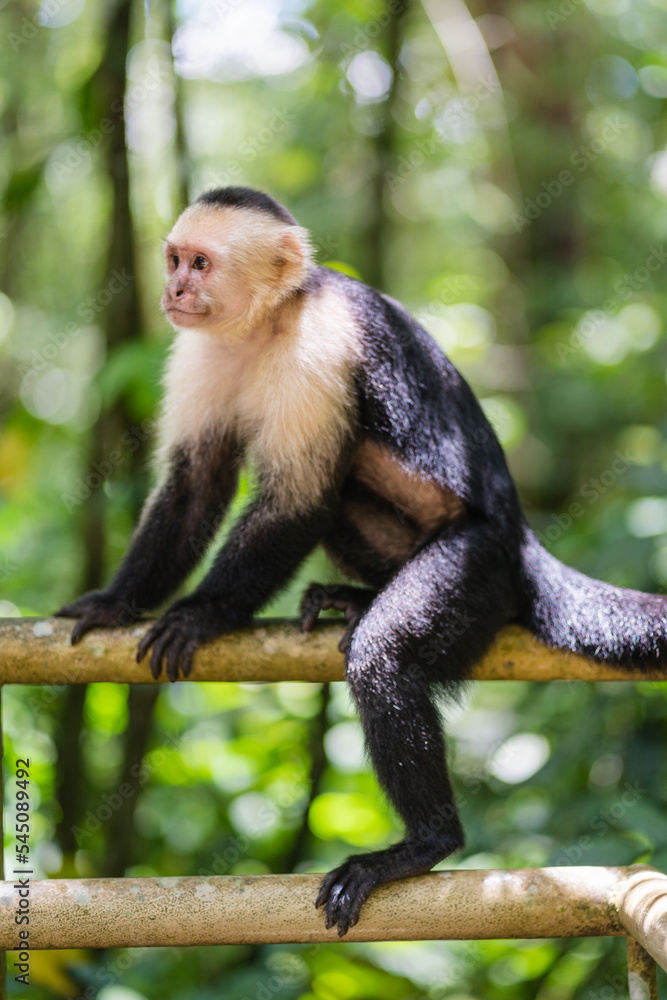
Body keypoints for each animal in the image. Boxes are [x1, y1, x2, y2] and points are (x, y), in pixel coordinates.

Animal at [57, 185, 667, 936]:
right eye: (175, 260)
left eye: (200, 264)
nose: (172, 288)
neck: (268, 321)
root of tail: (521, 539)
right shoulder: (198, 349)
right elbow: (196, 484)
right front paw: (118, 601)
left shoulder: (319, 349)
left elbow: (298, 500)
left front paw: (199, 613)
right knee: (346, 495)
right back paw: (357, 598)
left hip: (479, 563)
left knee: (384, 653)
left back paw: (423, 843)